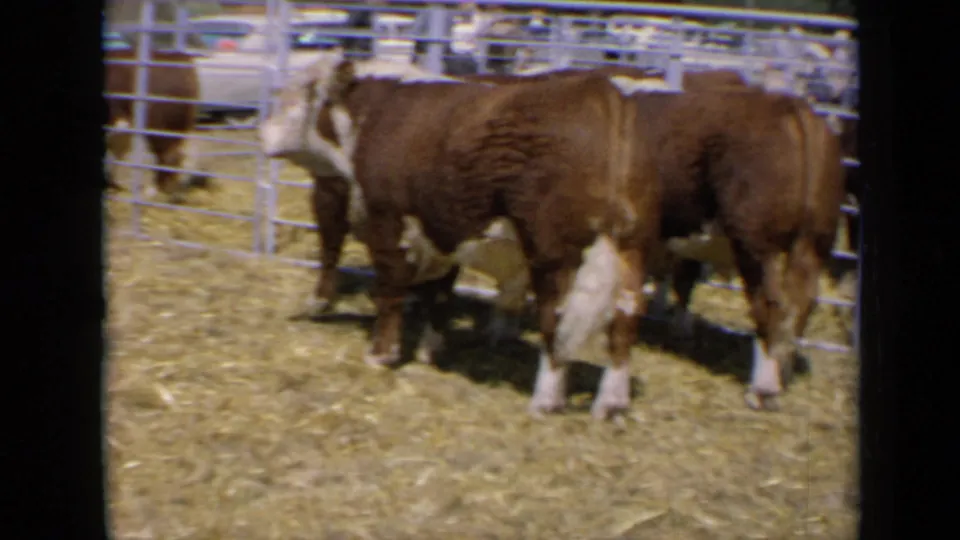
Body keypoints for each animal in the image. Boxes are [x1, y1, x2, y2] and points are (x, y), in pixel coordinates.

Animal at [260, 50, 662, 420]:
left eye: (300, 93)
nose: (262, 132)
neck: (374, 117)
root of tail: (602, 93)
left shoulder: (387, 223)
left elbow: (390, 292)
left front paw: (381, 354)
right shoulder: (443, 232)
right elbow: (439, 296)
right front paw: (429, 351)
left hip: (555, 251)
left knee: (557, 318)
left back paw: (546, 400)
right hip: (631, 247)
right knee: (625, 318)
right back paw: (612, 403)